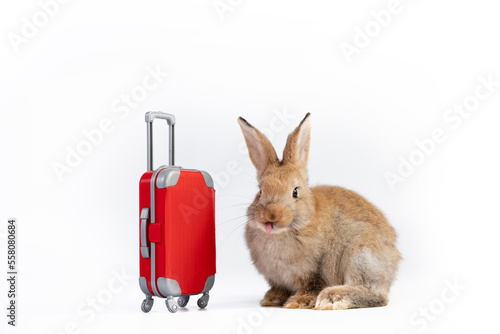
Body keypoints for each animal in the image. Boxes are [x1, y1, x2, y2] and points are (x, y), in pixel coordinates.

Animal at [238, 113, 402, 310]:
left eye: (295, 192)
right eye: (260, 191)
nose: (270, 217)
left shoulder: (314, 271)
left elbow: (311, 286)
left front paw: (298, 302)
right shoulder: (277, 279)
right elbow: (279, 288)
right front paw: (272, 299)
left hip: (361, 253)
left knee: (375, 293)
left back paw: (331, 298)